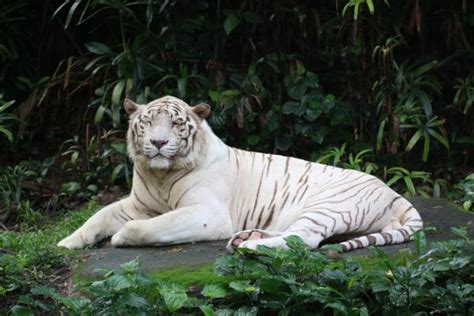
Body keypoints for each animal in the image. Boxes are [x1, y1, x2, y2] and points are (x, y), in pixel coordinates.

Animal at [57, 95, 424, 252]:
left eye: (175, 124)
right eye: (147, 122)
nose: (158, 143)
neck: (161, 174)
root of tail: (397, 195)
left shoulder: (208, 214)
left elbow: (148, 227)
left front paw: (120, 238)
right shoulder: (137, 205)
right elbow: (97, 216)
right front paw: (67, 243)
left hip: (327, 204)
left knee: (305, 239)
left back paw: (248, 247)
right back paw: (247, 237)